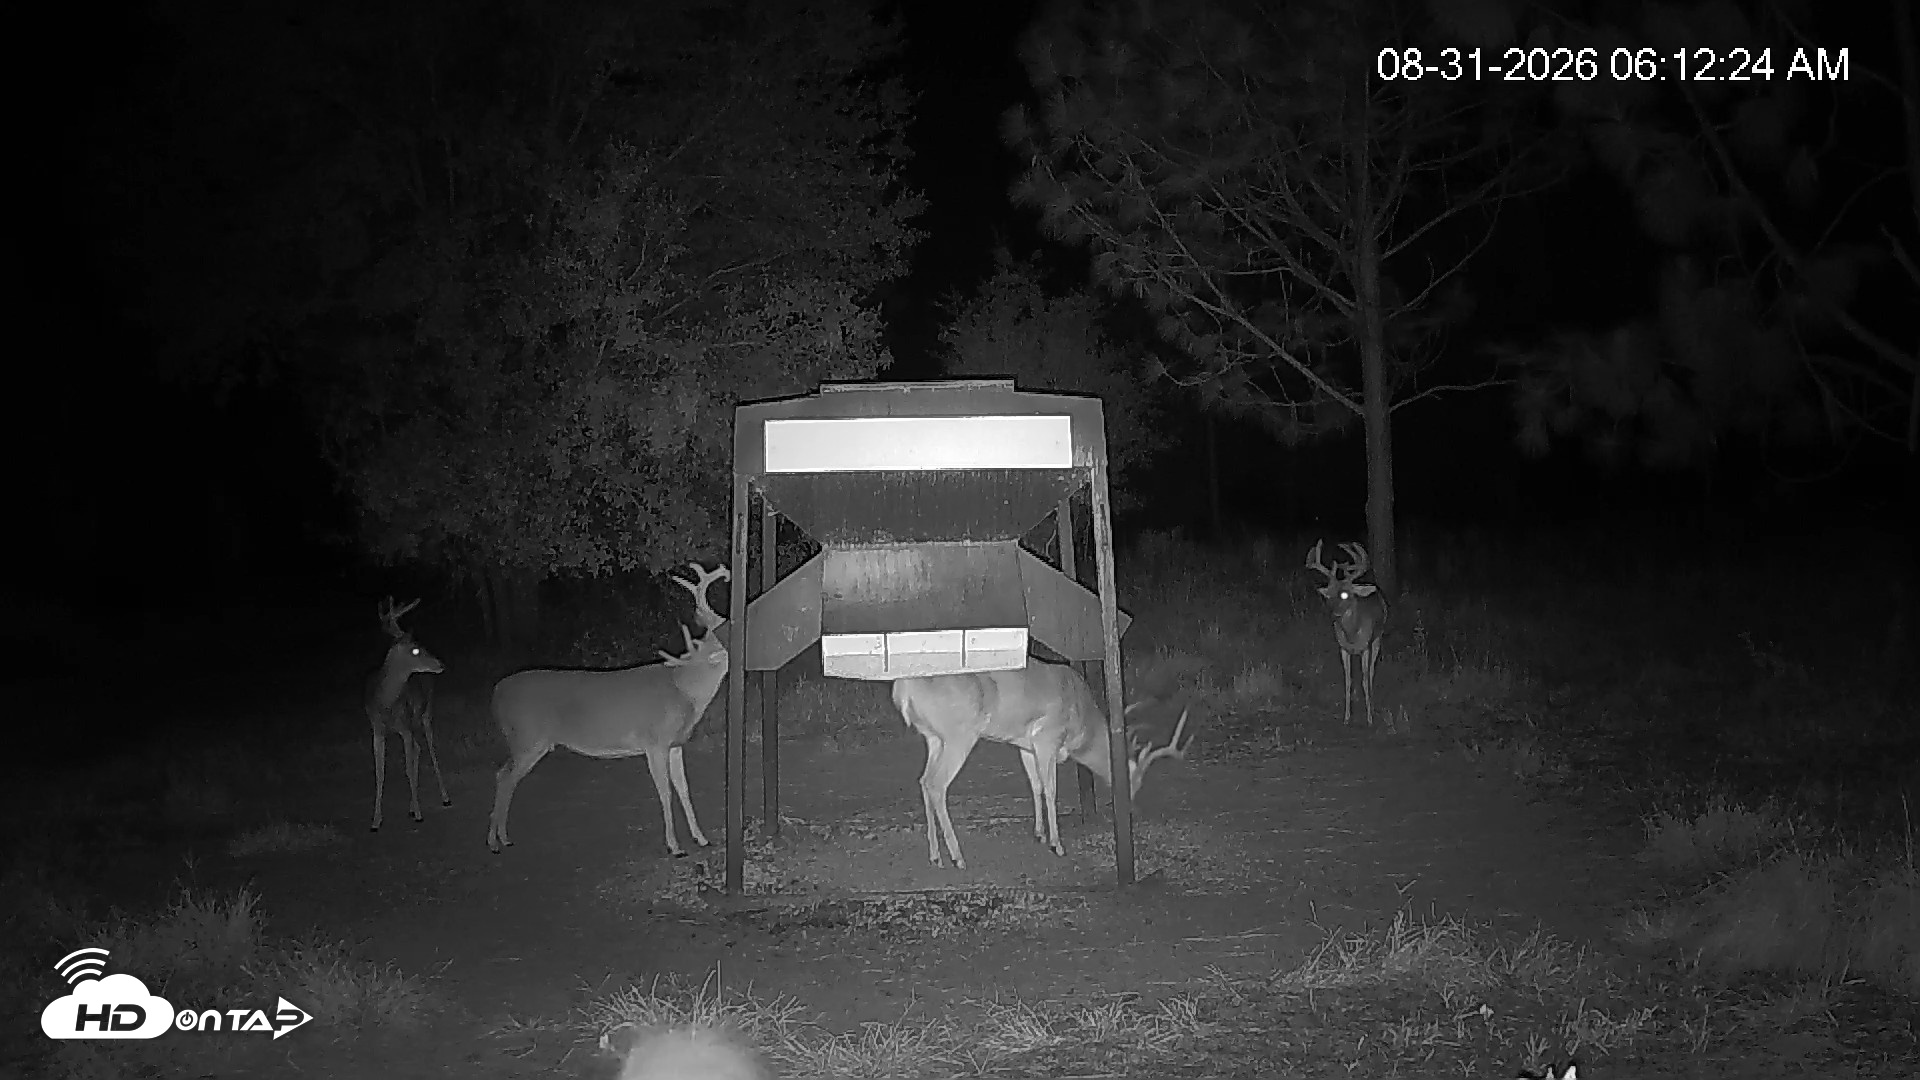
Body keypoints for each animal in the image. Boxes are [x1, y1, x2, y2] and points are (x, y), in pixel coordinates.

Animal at [366, 596, 451, 832]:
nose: (441, 664)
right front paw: (375, 820)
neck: (385, 702)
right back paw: (412, 806)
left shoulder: (404, 726)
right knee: (419, 749)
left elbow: (409, 768)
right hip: (413, 722)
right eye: (415, 650)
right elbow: (380, 773)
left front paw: (420, 813)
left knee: (430, 749)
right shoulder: (377, 729)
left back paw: (443, 797)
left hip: (425, 714)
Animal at [486, 563, 730, 857]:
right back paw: (496, 841)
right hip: (527, 737)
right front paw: (674, 846)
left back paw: (502, 838)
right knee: (504, 776)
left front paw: (701, 838)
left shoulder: (675, 743)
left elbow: (684, 789)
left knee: (503, 774)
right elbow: (665, 792)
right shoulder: (654, 742)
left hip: (525, 741)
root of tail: (496, 693)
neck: (684, 692)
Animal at [891, 661, 1193, 870]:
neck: (1082, 722)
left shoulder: (1025, 745)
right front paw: (1057, 844)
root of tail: (903, 689)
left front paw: (1038, 833)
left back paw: (935, 856)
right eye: (1135, 780)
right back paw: (958, 858)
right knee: (936, 784)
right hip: (959, 734)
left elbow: (1035, 785)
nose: (1133, 809)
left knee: (923, 781)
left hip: (933, 737)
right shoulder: (1048, 737)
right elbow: (1050, 790)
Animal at [1305, 540, 1390, 726]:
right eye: (1328, 595)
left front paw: (1370, 718)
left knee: (1371, 671)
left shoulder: (1366, 647)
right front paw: (1346, 717)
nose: (1332, 613)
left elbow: (1364, 679)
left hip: (1378, 638)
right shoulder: (1343, 648)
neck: (1352, 634)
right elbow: (1348, 680)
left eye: (1345, 594)